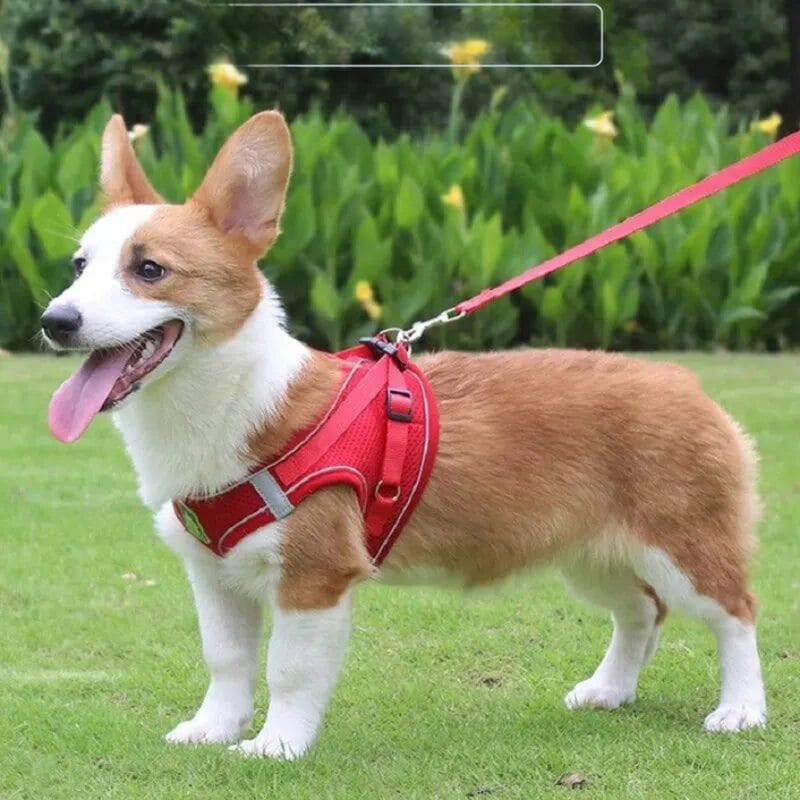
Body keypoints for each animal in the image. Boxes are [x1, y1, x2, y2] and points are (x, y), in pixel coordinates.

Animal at [40, 111, 764, 756]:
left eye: (150, 269)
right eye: (78, 266)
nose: (54, 321)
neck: (226, 404)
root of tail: (686, 383)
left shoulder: (315, 577)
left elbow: (288, 670)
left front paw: (276, 746)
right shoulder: (214, 574)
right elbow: (226, 660)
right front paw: (212, 731)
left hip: (682, 549)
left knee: (736, 613)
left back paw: (741, 711)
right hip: (593, 553)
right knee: (640, 610)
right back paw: (609, 689)